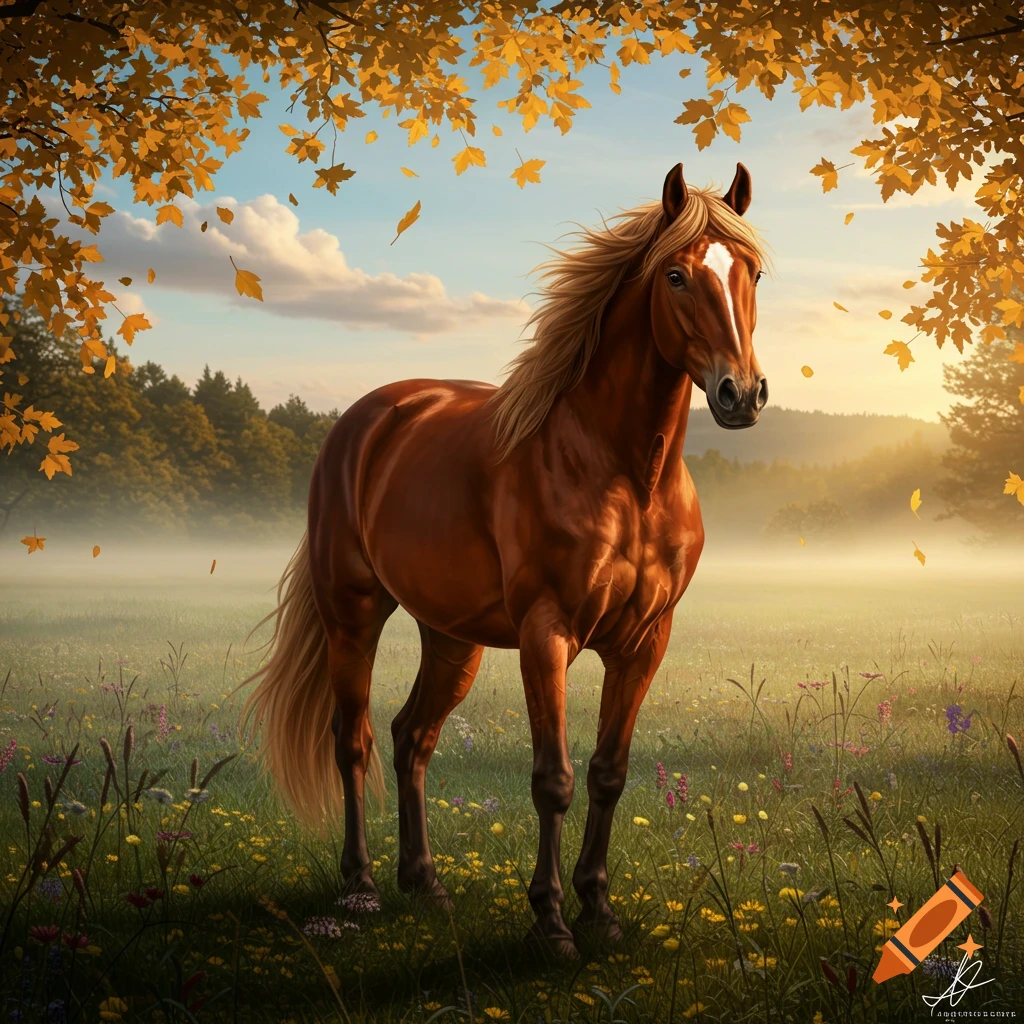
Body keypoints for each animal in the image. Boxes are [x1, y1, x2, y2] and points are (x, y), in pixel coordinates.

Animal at [242, 161, 770, 958]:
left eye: (754, 273)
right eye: (676, 275)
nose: (742, 394)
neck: (622, 471)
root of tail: (366, 420)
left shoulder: (643, 643)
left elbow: (607, 773)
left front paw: (599, 909)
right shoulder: (545, 635)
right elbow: (553, 778)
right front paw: (550, 923)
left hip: (450, 637)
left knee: (412, 737)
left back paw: (425, 883)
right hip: (352, 614)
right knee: (354, 738)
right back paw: (361, 885)